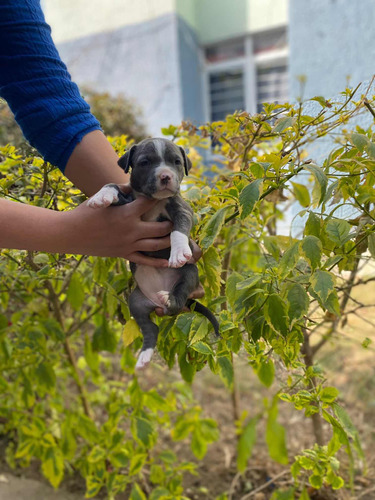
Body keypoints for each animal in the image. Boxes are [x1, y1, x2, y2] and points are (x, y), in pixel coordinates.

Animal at [88, 139, 219, 370]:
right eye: (145, 162)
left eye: (176, 162)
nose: (165, 176)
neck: (154, 201)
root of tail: (156, 302)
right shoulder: (128, 202)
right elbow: (113, 185)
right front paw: (101, 195)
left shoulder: (182, 209)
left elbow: (179, 228)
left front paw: (179, 251)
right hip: (136, 302)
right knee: (151, 328)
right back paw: (144, 355)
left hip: (189, 275)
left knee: (179, 296)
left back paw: (170, 299)